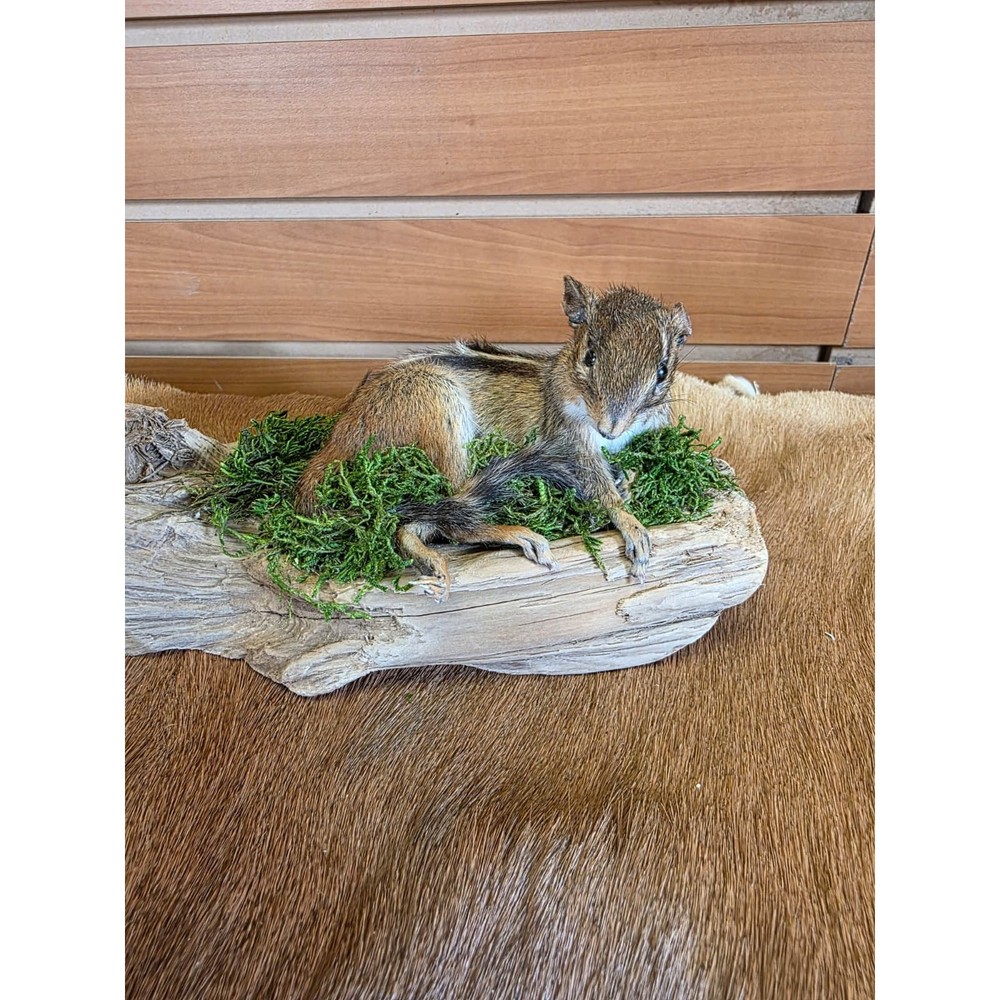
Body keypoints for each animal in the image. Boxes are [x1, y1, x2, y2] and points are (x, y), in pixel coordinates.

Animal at [295, 276, 691, 600]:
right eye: (589, 356)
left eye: (662, 371)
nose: (609, 427)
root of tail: (337, 440)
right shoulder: (569, 441)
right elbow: (599, 487)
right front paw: (632, 526)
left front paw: (628, 482)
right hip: (439, 413)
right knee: (447, 518)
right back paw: (516, 533)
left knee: (413, 528)